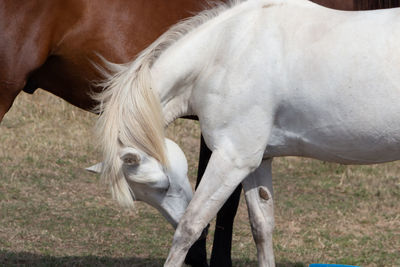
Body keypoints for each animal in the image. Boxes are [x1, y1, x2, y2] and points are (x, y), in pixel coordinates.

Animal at [0, 0, 398, 266]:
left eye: (160, 185)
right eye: (146, 193)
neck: (228, 51)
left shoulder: (232, 159)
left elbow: (191, 226)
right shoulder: (257, 160)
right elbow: (261, 227)